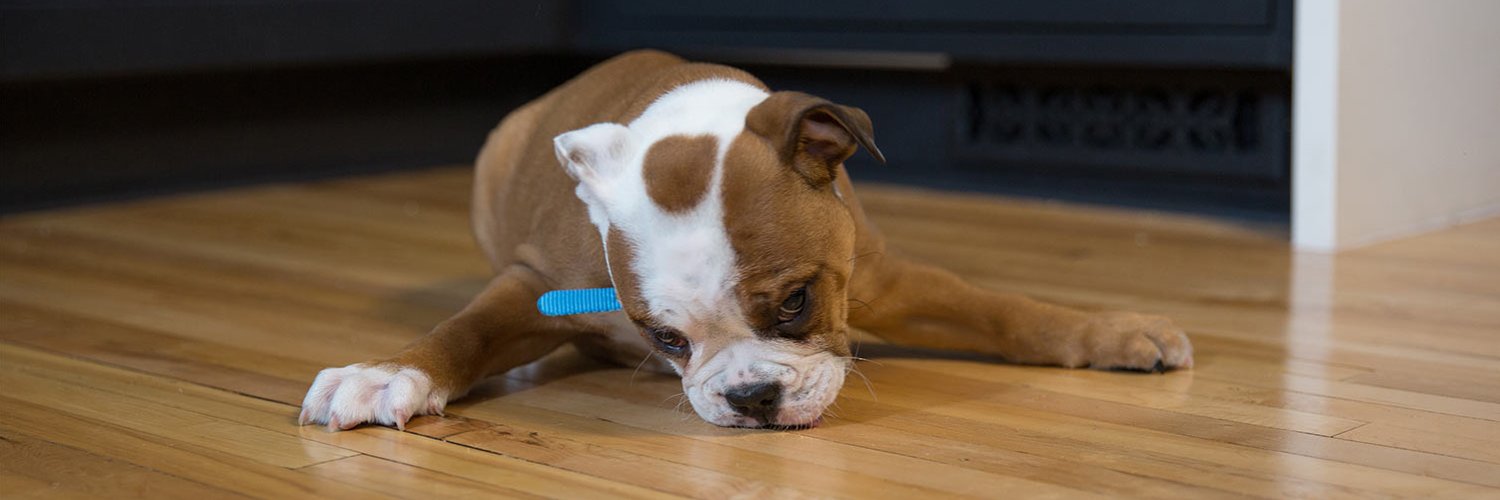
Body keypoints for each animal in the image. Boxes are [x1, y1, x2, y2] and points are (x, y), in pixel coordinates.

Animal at [299, 50, 1193, 431]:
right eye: (665, 338)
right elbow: (466, 329)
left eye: (795, 303)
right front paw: (387, 373)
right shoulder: (532, 282)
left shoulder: (880, 278)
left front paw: (1112, 332)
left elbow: (1004, 310)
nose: (752, 396)